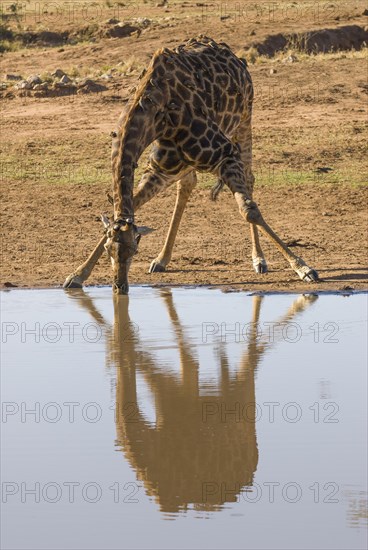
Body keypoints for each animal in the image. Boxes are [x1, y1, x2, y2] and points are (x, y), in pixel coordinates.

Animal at [62, 35, 316, 294]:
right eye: (108, 251)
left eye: (135, 250)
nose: (119, 287)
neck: (155, 113)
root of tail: (230, 52)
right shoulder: (160, 168)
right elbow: (132, 203)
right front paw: (77, 274)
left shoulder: (225, 154)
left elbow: (249, 210)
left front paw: (303, 268)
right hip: (184, 161)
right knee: (187, 185)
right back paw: (161, 259)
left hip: (245, 120)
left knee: (249, 178)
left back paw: (259, 260)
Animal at [68, 292, 320, 516]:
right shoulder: (168, 396)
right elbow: (145, 354)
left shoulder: (174, 392)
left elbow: (150, 354)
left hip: (242, 397)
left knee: (251, 357)